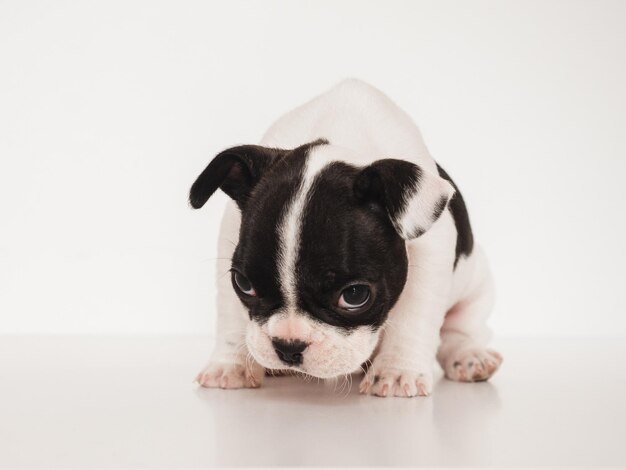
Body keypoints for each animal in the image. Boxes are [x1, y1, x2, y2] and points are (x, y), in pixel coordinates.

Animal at [188, 78, 500, 396]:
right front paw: (230, 365)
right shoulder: (230, 237)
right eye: (244, 284)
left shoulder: (430, 252)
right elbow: (230, 313)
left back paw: (468, 356)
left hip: (477, 283)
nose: (288, 346)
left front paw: (398, 371)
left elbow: (413, 316)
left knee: (463, 327)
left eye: (354, 296)